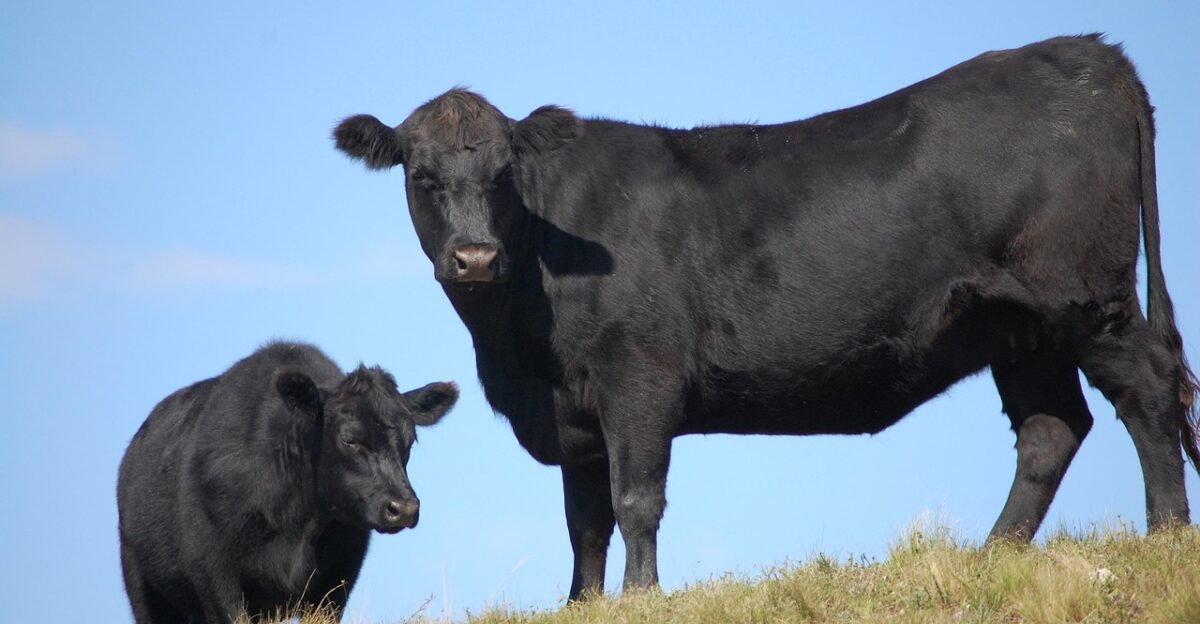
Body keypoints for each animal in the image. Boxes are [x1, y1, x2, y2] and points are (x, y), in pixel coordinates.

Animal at [117, 341, 457, 623]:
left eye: (410, 441)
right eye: (349, 439)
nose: (404, 508)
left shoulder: (337, 580)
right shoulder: (213, 573)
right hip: (143, 586)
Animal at [334, 35, 1198, 599]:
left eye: (504, 173)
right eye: (421, 174)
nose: (475, 257)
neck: (517, 351)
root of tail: (1088, 50)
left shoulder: (638, 378)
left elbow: (634, 499)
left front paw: (643, 599)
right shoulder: (573, 409)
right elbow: (585, 521)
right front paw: (581, 604)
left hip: (1086, 297)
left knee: (1149, 392)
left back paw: (1166, 534)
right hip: (1018, 327)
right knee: (1052, 429)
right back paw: (993, 555)